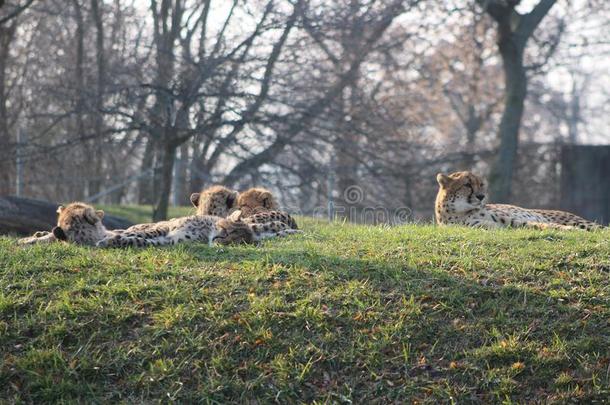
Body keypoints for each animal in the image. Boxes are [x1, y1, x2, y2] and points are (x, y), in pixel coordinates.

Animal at [432, 170, 600, 230]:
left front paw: (568, 230)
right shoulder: (487, 226)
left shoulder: (510, 221)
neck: (461, 210)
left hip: (579, 221)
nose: (481, 196)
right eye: (467, 184)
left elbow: (541, 224)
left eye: (481, 184)